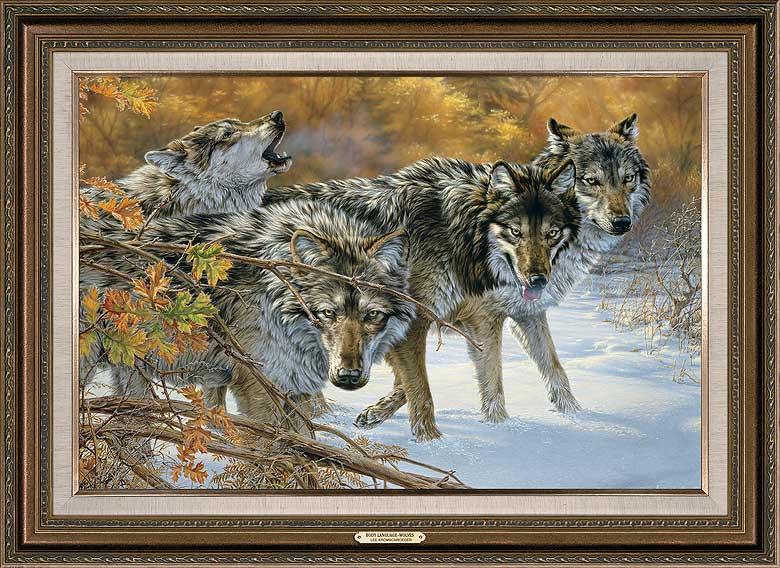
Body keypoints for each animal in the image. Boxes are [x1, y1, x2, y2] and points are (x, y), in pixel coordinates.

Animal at [262, 157, 581, 440]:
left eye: (552, 233)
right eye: (516, 232)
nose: (538, 280)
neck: (459, 233)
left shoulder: (505, 316)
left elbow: (551, 368)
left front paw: (574, 415)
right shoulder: (421, 321)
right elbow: (425, 388)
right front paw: (432, 440)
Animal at [353, 114, 652, 428]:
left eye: (628, 178)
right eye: (592, 181)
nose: (622, 222)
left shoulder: (528, 313)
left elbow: (555, 369)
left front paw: (575, 417)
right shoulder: (479, 318)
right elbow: (489, 379)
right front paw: (500, 426)